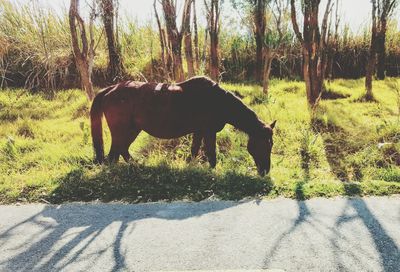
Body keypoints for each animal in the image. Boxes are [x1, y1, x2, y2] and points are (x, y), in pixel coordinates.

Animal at [90, 76, 276, 176]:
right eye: (264, 145)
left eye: (271, 144)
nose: (265, 171)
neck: (217, 101)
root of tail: (110, 89)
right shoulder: (208, 132)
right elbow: (211, 154)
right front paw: (212, 172)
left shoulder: (199, 131)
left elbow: (194, 151)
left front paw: (191, 168)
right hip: (122, 131)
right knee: (115, 154)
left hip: (132, 129)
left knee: (121, 151)